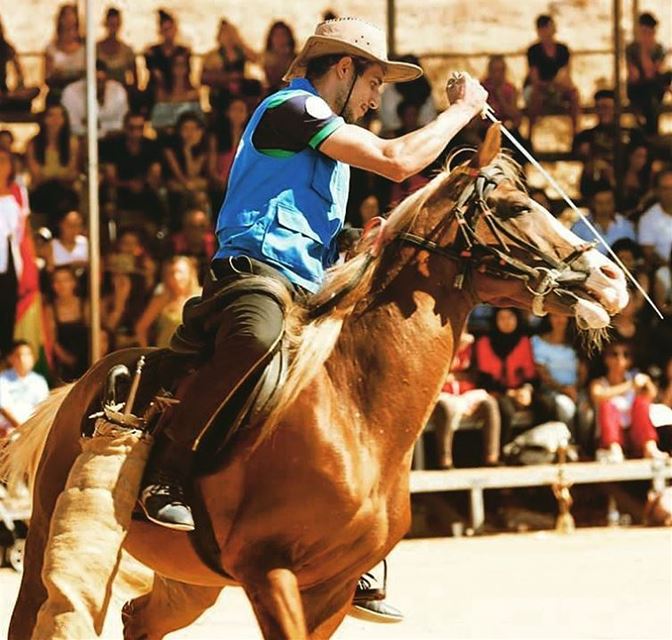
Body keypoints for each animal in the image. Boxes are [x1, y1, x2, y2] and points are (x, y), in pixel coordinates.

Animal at [2, 127, 628, 636]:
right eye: (518, 206)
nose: (609, 278)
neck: (354, 411)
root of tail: (81, 388)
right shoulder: (269, 572)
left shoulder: (329, 591)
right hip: (46, 545)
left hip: (192, 582)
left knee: (139, 620)